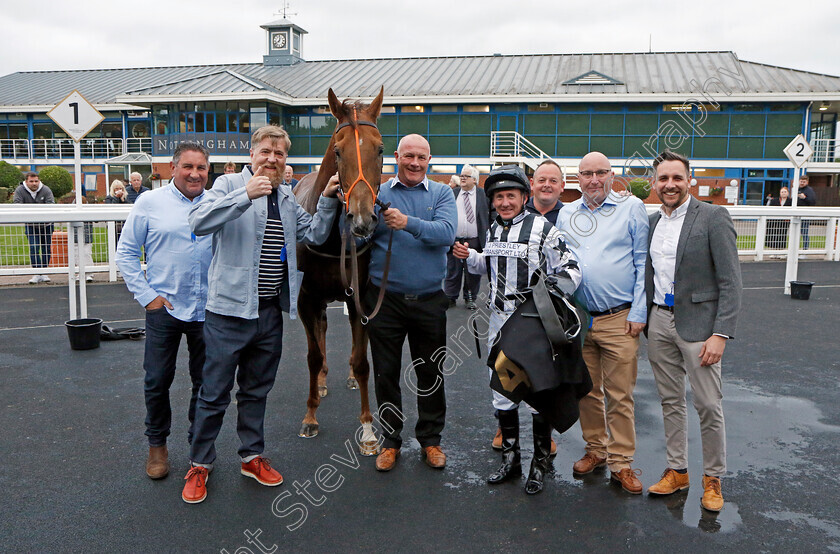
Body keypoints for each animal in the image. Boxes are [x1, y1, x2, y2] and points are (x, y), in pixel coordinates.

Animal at [294, 86, 386, 452]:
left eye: (380, 149)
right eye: (337, 150)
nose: (362, 220)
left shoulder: (360, 297)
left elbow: (362, 362)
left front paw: (368, 428)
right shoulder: (305, 297)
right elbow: (312, 356)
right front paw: (309, 417)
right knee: (318, 333)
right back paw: (320, 383)